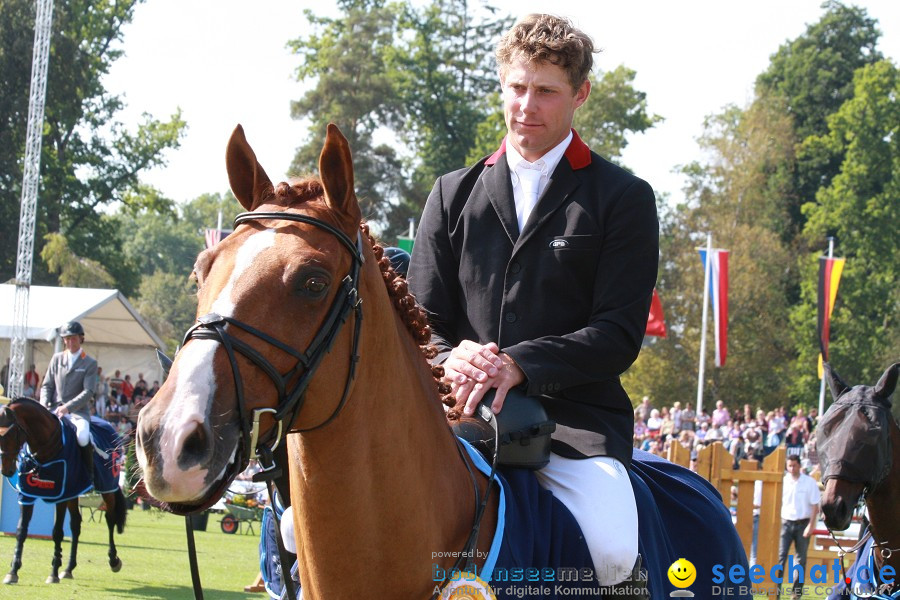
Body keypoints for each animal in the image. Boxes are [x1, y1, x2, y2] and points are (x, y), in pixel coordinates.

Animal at [0, 396, 128, 584]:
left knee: (110, 519)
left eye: (9, 434)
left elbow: (57, 533)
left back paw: (113, 560)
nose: (7, 471)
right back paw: (68, 568)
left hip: (107, 489)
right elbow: (21, 531)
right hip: (74, 492)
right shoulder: (27, 496)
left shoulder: (60, 497)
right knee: (75, 524)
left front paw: (53, 573)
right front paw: (13, 571)